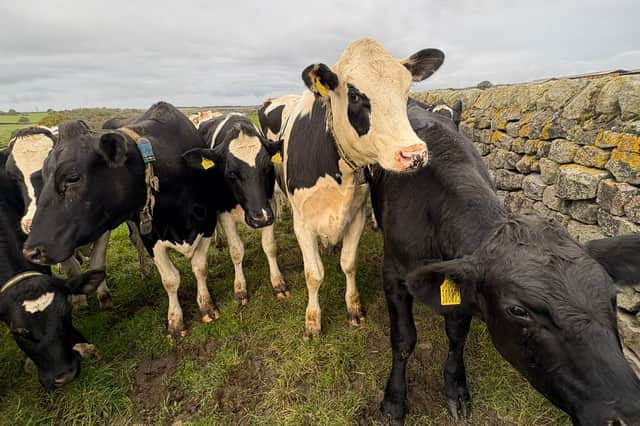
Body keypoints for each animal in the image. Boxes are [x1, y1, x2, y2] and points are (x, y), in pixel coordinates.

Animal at [5, 126, 149, 309]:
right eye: (13, 176)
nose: (30, 224)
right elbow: (71, 268)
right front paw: (79, 301)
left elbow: (97, 261)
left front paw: (104, 297)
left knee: (136, 238)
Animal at [21, 101, 226, 339]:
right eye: (43, 176)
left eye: (72, 178)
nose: (31, 251)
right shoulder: (151, 236)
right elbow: (170, 279)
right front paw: (175, 322)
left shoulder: (206, 223)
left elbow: (200, 267)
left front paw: (207, 307)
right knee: (135, 240)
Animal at [182, 113, 286, 304]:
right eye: (231, 173)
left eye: (267, 167)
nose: (259, 218)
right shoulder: (224, 213)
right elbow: (236, 251)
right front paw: (240, 288)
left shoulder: (269, 206)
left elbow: (269, 246)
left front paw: (278, 283)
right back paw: (219, 240)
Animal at [277, 38, 443, 338]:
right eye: (354, 96)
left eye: (406, 92)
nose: (414, 154)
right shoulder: (302, 224)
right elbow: (313, 274)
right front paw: (312, 320)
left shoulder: (356, 215)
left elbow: (349, 263)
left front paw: (353, 307)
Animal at [368, 99, 640, 425]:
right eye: (517, 311)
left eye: (613, 297)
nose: (628, 415)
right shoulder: (393, 273)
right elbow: (403, 340)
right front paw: (393, 402)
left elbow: (457, 333)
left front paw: (456, 388)